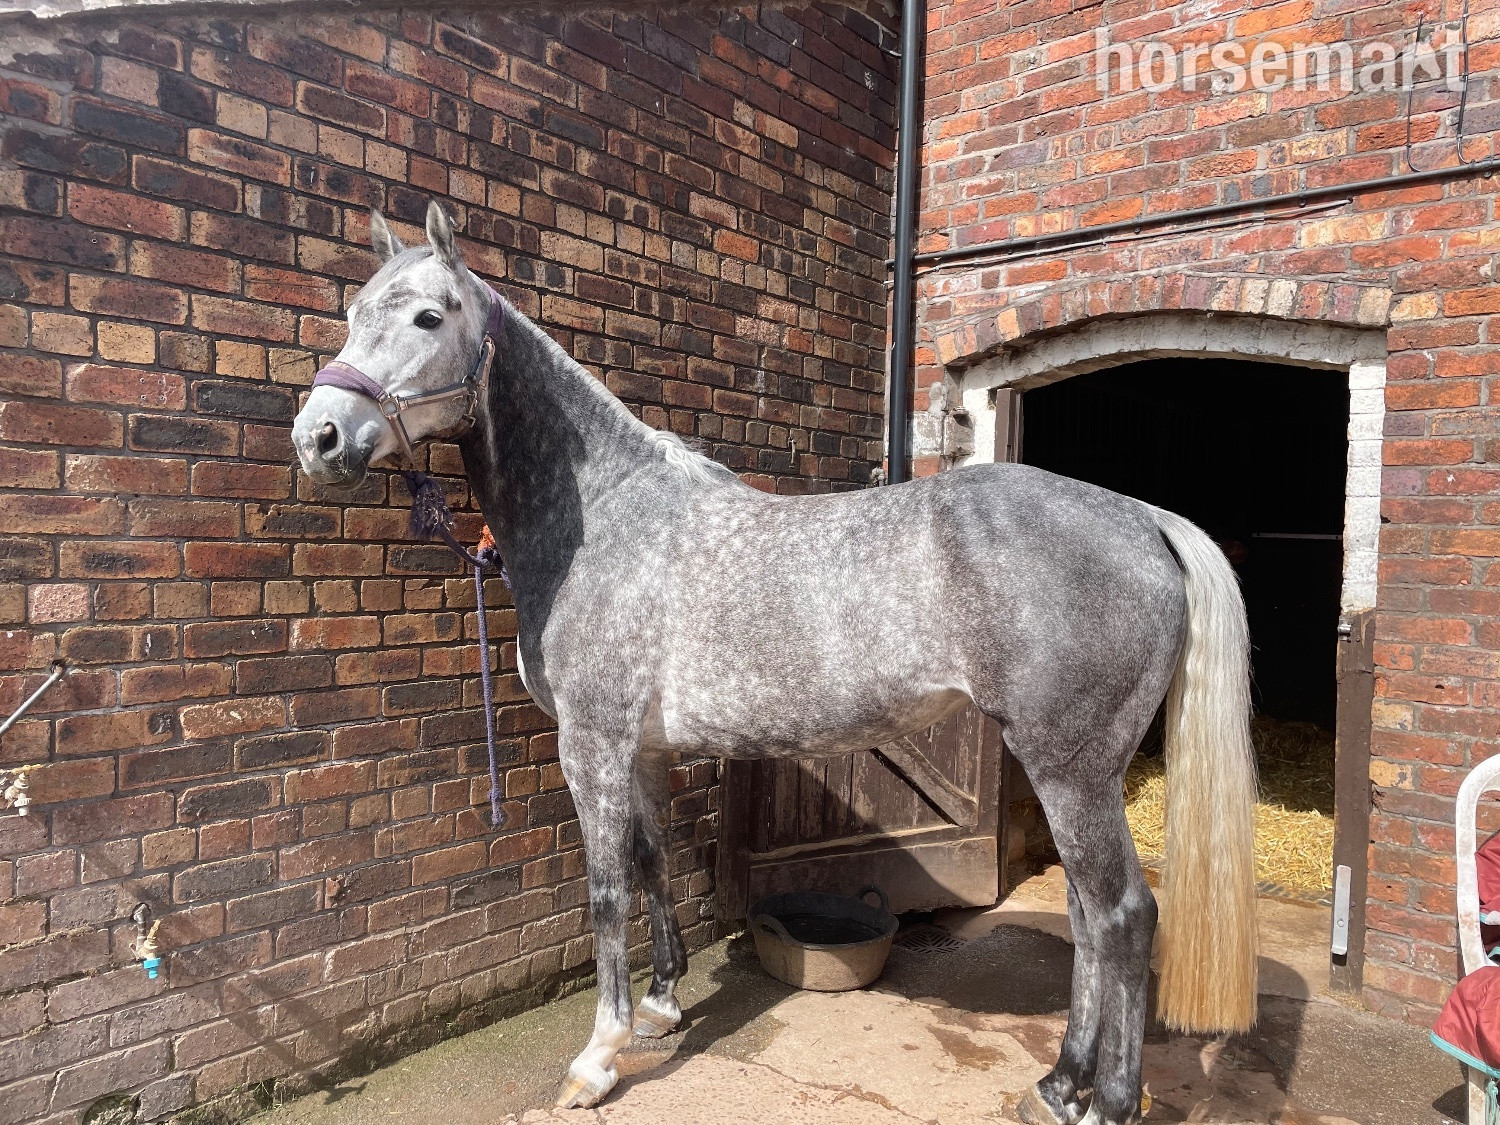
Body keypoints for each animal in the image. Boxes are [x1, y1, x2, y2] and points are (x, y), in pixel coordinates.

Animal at [290, 200, 1258, 1125]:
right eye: (353, 313)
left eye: (428, 316)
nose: (319, 437)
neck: (606, 519)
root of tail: (1144, 518)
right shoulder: (642, 750)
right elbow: (652, 862)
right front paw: (661, 1005)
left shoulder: (592, 744)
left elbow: (606, 888)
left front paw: (597, 1058)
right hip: (1071, 770)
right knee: (1089, 917)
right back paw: (1058, 1085)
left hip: (1073, 766)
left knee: (1124, 917)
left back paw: (1108, 1102)